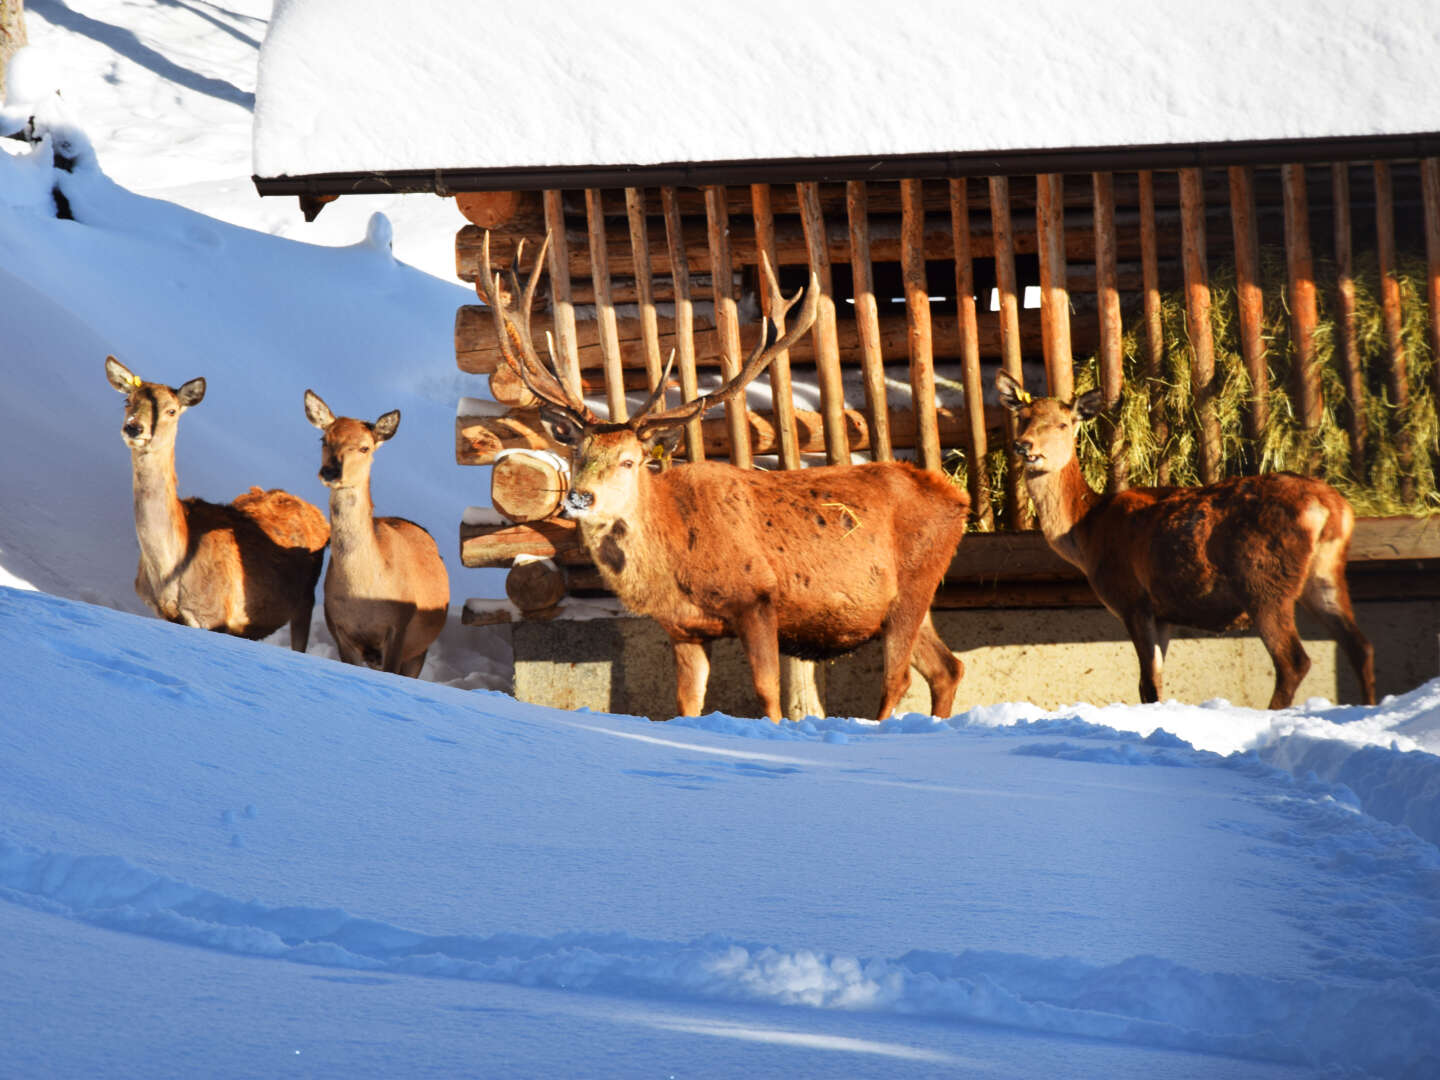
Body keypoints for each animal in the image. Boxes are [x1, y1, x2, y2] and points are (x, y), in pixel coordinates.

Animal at [106, 360, 331, 656]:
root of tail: (321, 518)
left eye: (171, 410)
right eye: (128, 400)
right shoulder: (164, 612)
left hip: (305, 600)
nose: (134, 428)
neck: (167, 571)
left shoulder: (214, 617)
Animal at [308, 388, 449, 676]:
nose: (330, 471)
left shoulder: (399, 627)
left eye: (365, 447)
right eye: (324, 439)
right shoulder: (338, 628)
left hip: (420, 649)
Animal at [480, 236, 967, 728]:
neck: (676, 560)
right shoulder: (684, 628)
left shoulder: (757, 598)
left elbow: (767, 692)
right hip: (907, 602)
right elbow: (687, 703)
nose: (581, 497)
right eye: (577, 452)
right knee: (948, 667)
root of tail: (957, 499)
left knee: (899, 678)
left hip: (914, 583)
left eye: (630, 461)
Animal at [996, 371, 1376, 711]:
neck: (1086, 530)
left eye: (1062, 424)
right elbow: (1153, 683)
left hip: (1264, 579)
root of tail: (1331, 507)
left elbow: (1147, 683)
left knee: (1293, 661)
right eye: (1022, 418)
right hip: (1325, 573)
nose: (1024, 446)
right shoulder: (1163, 613)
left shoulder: (1132, 599)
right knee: (1360, 646)